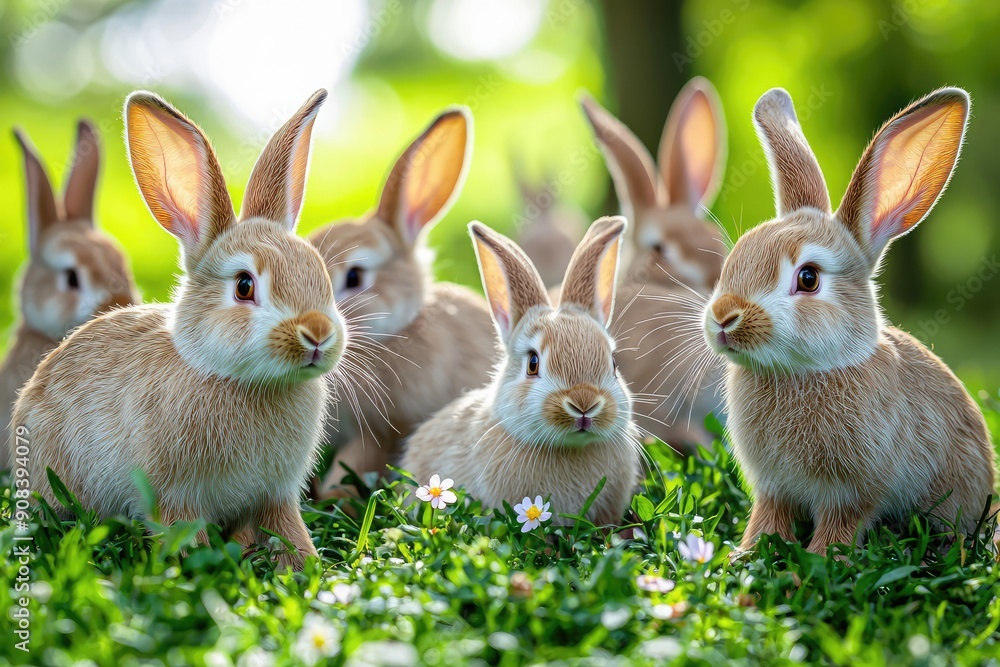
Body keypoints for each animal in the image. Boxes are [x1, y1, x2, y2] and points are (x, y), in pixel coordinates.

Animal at [704, 87, 996, 557]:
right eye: (737, 257)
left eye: (808, 278)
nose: (723, 318)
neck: (804, 372)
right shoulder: (773, 487)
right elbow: (769, 518)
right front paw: (746, 554)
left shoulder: (853, 489)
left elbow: (841, 523)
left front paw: (823, 559)